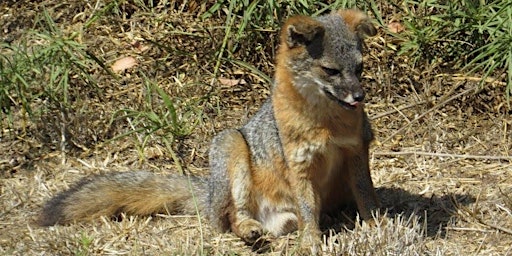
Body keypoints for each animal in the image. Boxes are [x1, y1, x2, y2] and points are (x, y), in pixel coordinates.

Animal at [38, 8, 378, 252]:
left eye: (360, 68)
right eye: (331, 71)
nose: (359, 96)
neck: (325, 125)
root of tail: (209, 192)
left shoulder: (356, 150)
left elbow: (366, 196)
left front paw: (377, 226)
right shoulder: (299, 165)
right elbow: (309, 210)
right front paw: (311, 242)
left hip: (280, 211)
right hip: (231, 146)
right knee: (230, 219)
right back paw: (248, 231)